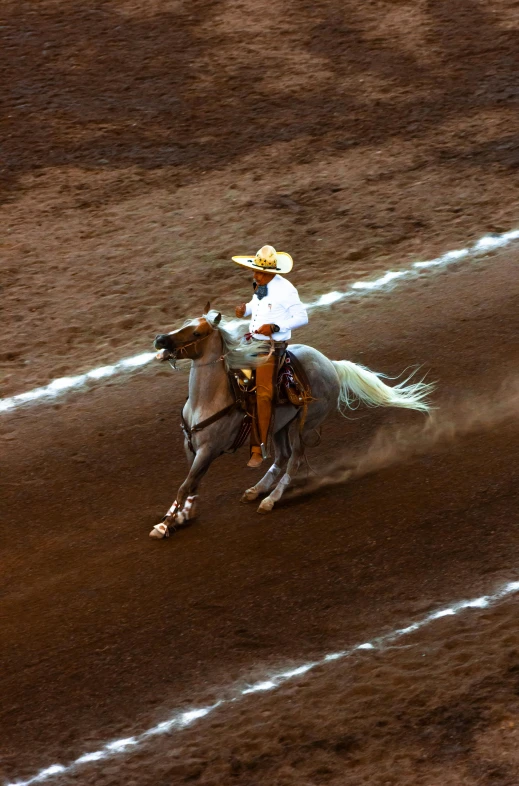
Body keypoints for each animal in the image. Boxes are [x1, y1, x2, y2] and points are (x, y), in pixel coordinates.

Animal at [150, 304, 434, 536]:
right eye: (185, 323)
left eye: (197, 333)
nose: (160, 339)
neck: (207, 400)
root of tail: (331, 365)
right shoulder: (192, 447)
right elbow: (192, 483)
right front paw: (181, 515)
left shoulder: (208, 449)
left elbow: (185, 486)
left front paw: (164, 525)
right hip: (279, 426)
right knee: (282, 456)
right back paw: (256, 490)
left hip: (303, 426)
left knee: (294, 460)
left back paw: (269, 500)